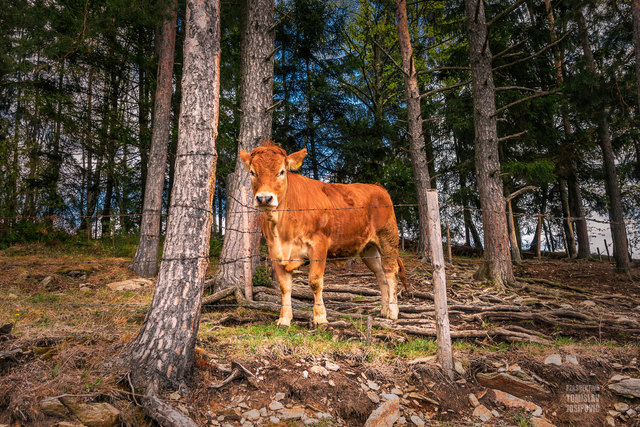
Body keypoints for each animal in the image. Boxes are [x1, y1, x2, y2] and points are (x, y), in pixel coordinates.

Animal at [240, 142, 404, 326]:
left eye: (281, 171)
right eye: (252, 172)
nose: (264, 198)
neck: (283, 230)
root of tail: (377, 187)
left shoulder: (318, 245)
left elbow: (315, 282)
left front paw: (320, 317)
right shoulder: (274, 250)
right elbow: (284, 286)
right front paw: (284, 318)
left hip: (388, 239)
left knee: (391, 273)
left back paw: (393, 312)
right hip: (369, 248)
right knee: (380, 274)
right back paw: (384, 310)